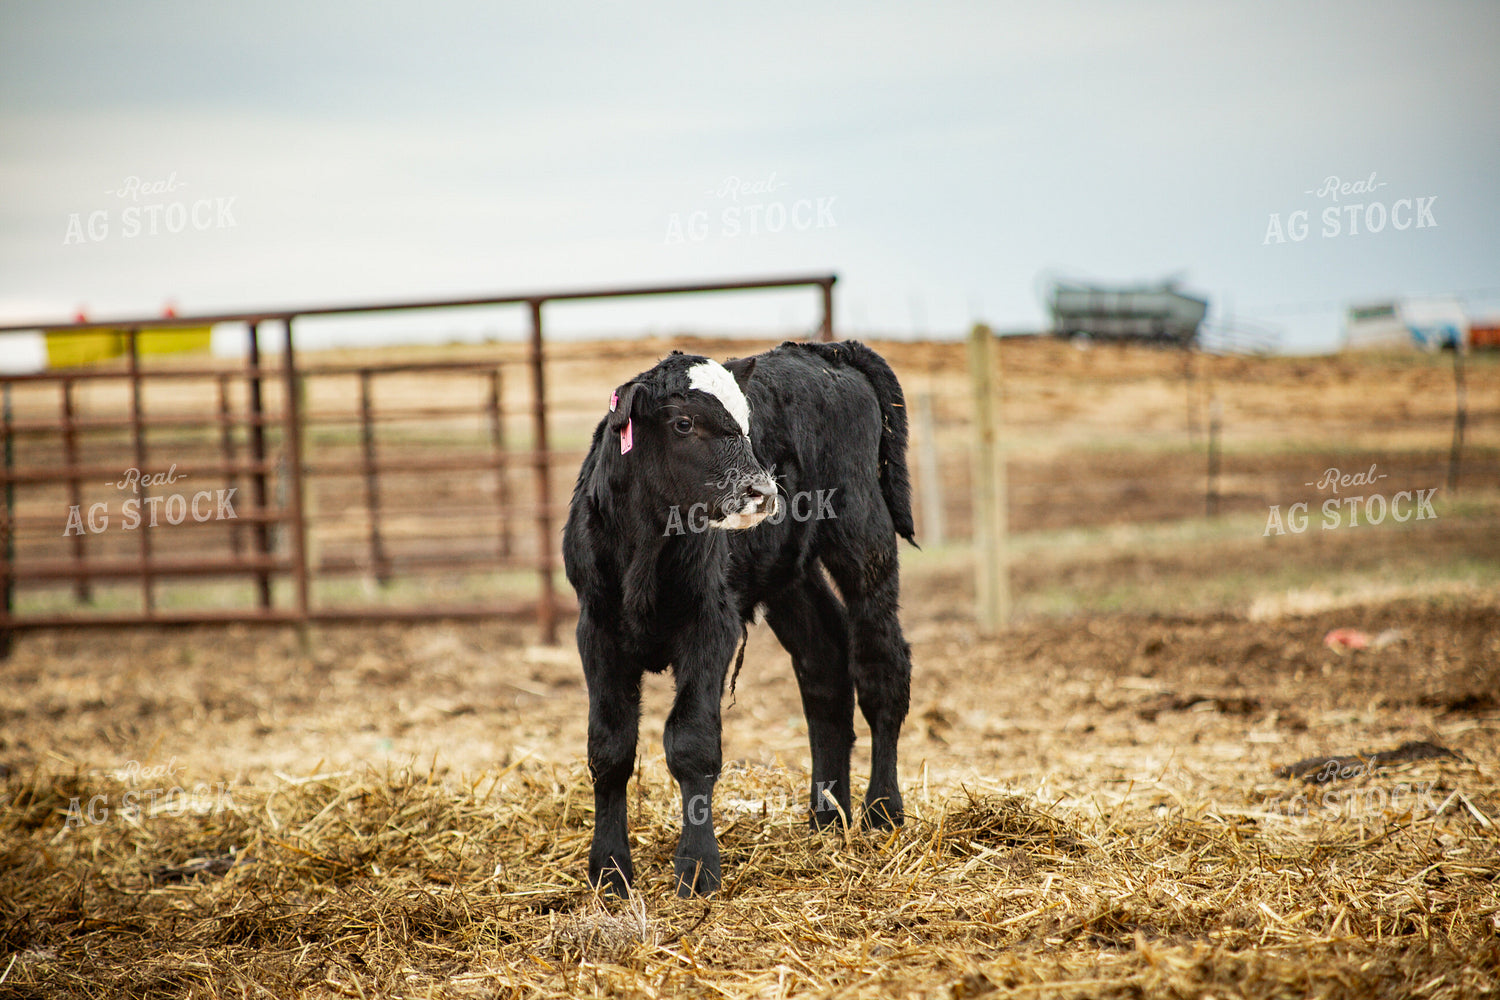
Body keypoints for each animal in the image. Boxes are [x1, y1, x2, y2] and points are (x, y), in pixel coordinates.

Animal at [562, 340, 915, 897]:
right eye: (684, 423)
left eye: (747, 424)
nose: (763, 492)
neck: (644, 548)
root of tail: (827, 352)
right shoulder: (596, 628)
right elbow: (609, 748)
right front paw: (610, 869)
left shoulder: (711, 625)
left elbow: (691, 743)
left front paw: (697, 867)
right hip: (789, 577)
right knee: (825, 667)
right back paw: (826, 815)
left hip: (865, 537)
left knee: (882, 668)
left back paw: (882, 811)